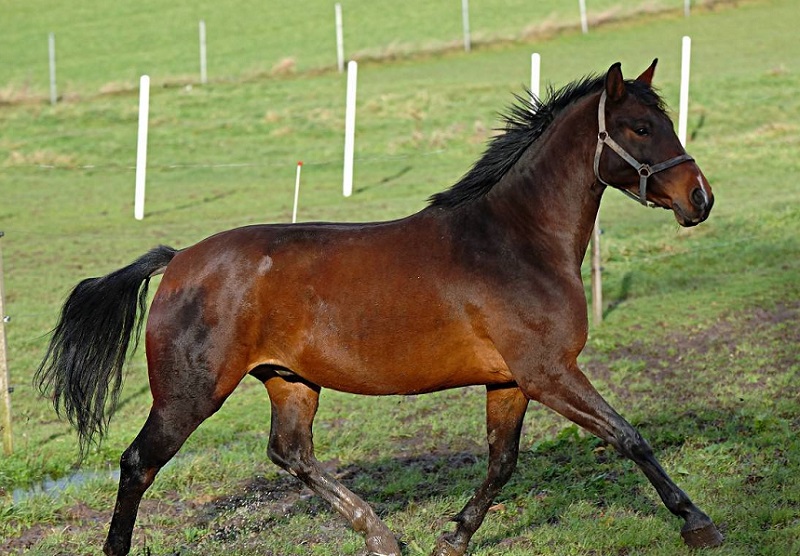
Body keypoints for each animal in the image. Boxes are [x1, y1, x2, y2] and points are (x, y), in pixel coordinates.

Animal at [36, 60, 724, 556]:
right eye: (640, 128)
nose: (700, 198)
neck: (515, 241)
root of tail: (178, 261)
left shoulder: (511, 381)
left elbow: (502, 464)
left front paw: (454, 537)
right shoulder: (549, 373)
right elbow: (629, 437)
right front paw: (697, 522)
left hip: (290, 380)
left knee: (291, 454)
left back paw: (381, 535)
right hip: (190, 394)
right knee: (138, 464)